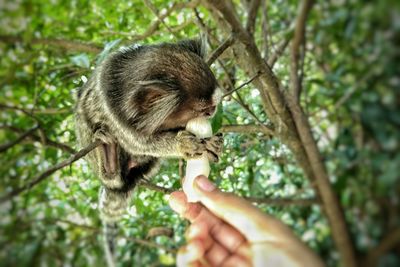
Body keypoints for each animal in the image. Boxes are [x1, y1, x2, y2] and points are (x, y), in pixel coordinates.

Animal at [74, 40, 222, 264]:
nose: (213, 111)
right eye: (203, 110)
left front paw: (210, 144)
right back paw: (109, 159)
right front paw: (182, 145)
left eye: (213, 106)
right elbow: (141, 143)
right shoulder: (113, 113)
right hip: (87, 141)